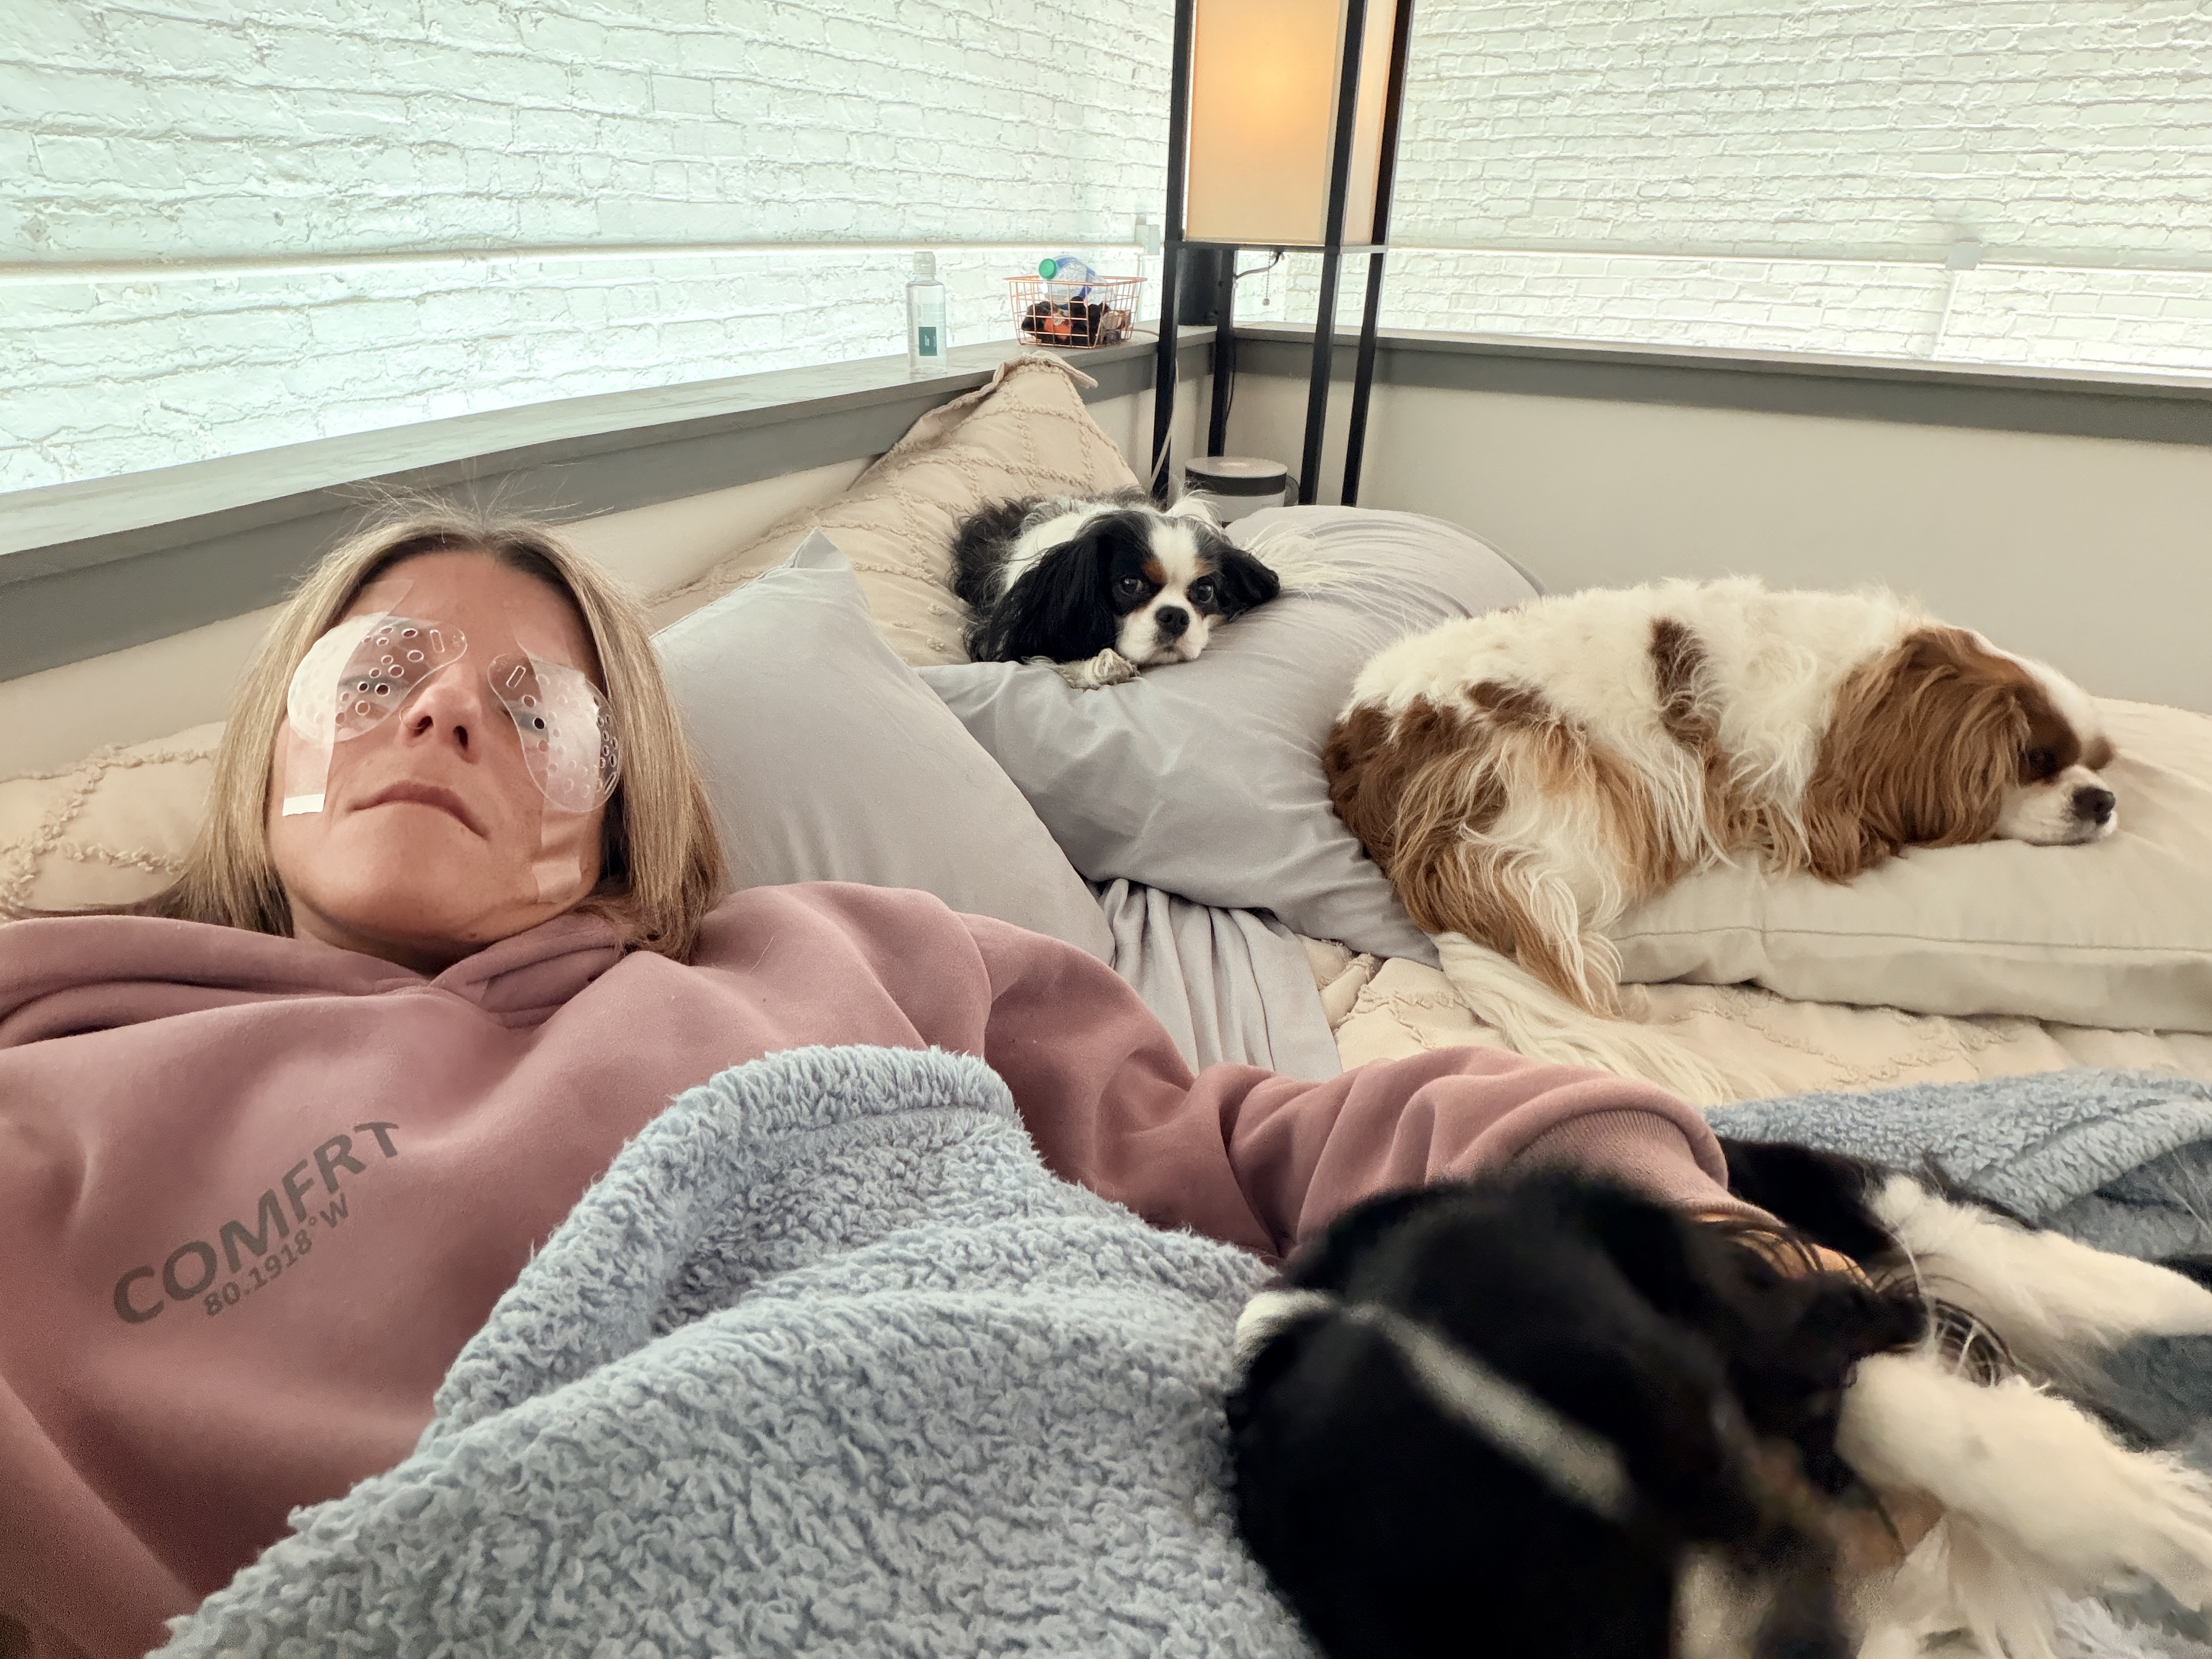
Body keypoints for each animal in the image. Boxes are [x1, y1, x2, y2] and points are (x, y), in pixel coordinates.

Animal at [1229, 1149, 2212, 1659]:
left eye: (1722, 1431)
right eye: (1612, 1631)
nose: (1812, 1634)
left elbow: (1875, 1393)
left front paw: (2148, 1522)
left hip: (1927, 1220)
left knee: (2124, 1283)